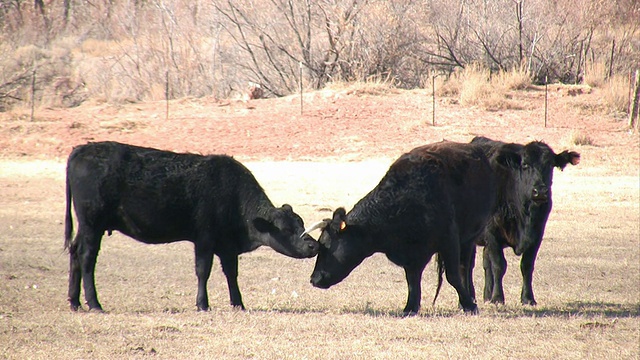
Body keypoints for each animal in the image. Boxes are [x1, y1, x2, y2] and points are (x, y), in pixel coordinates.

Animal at [65, 141, 320, 312]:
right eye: (286, 229)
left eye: (301, 223)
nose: (313, 245)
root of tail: (82, 149)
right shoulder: (204, 239)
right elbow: (202, 270)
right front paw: (202, 304)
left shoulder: (226, 246)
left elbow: (232, 273)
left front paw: (238, 303)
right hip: (92, 225)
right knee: (86, 257)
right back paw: (94, 303)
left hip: (85, 228)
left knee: (75, 253)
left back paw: (75, 302)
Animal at [306, 141, 544, 316]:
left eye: (325, 245)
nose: (314, 279)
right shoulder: (412, 254)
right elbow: (412, 280)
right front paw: (410, 307)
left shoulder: (449, 241)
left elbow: (453, 276)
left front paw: (469, 305)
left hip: (469, 238)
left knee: (464, 268)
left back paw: (468, 299)